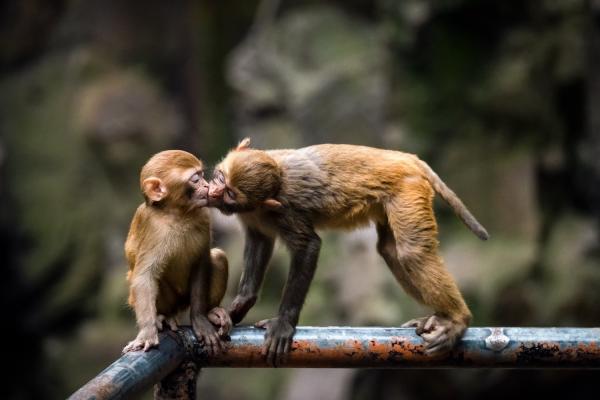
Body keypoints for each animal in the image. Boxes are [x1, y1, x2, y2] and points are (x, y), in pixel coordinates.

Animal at [123, 151, 231, 356]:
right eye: (195, 179)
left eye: (202, 176)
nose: (207, 185)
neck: (177, 214)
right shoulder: (153, 227)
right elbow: (144, 277)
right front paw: (147, 332)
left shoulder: (204, 216)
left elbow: (202, 262)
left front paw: (200, 320)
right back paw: (163, 317)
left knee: (218, 257)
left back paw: (212, 312)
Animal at [206, 139, 488, 364]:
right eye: (220, 177)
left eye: (229, 192)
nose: (213, 191)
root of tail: (404, 158)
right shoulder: (255, 219)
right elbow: (260, 241)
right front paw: (239, 306)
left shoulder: (285, 212)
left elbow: (308, 246)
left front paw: (283, 324)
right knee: (390, 251)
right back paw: (440, 316)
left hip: (408, 189)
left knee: (412, 252)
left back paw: (458, 319)